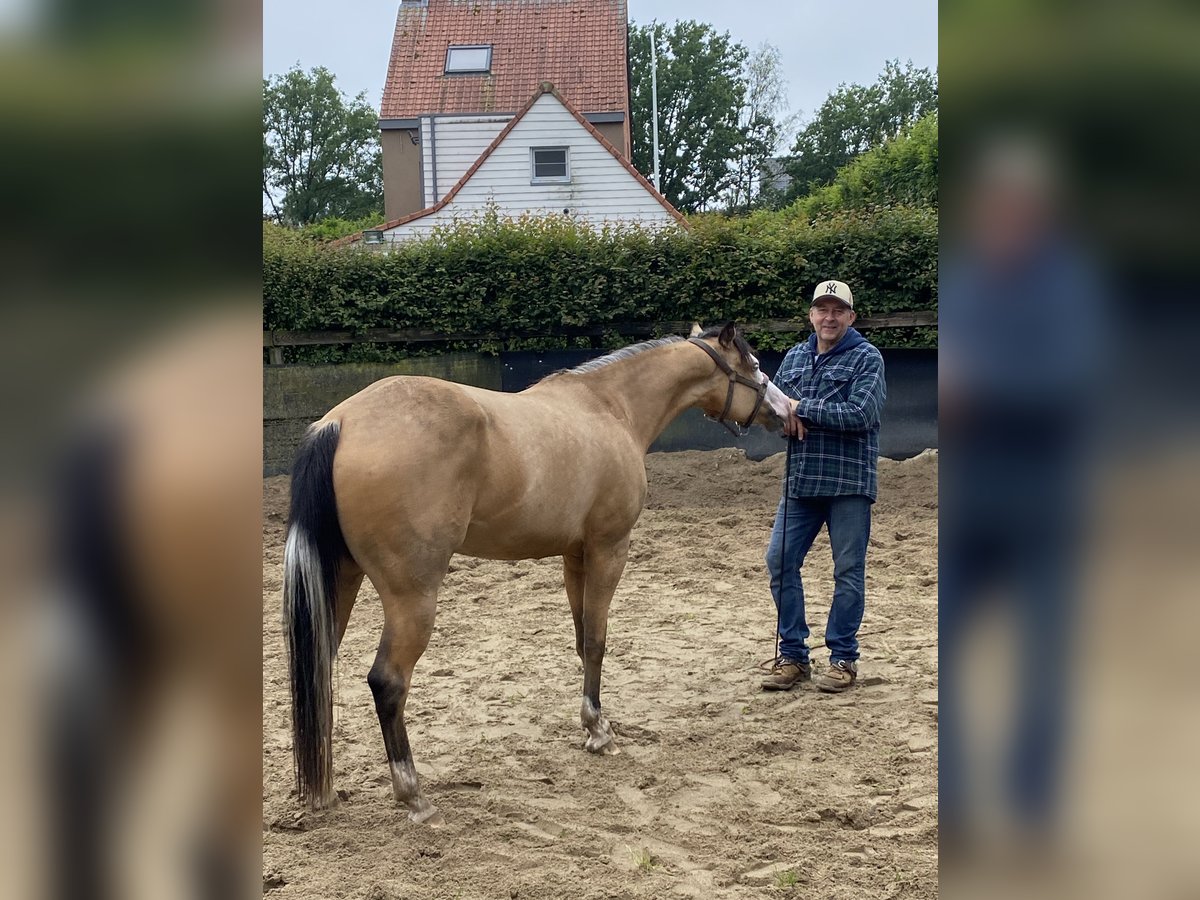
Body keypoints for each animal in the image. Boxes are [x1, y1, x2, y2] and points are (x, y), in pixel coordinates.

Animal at [284, 324, 792, 825]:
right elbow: (597, 641)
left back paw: (324, 792)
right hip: (412, 597)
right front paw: (600, 732)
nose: (787, 410)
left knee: (319, 671)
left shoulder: (574, 557)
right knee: (388, 682)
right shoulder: (609, 549)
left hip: (342, 582)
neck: (609, 407)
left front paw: (591, 724)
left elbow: (582, 640)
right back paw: (414, 796)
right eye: (754, 365)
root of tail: (342, 422)